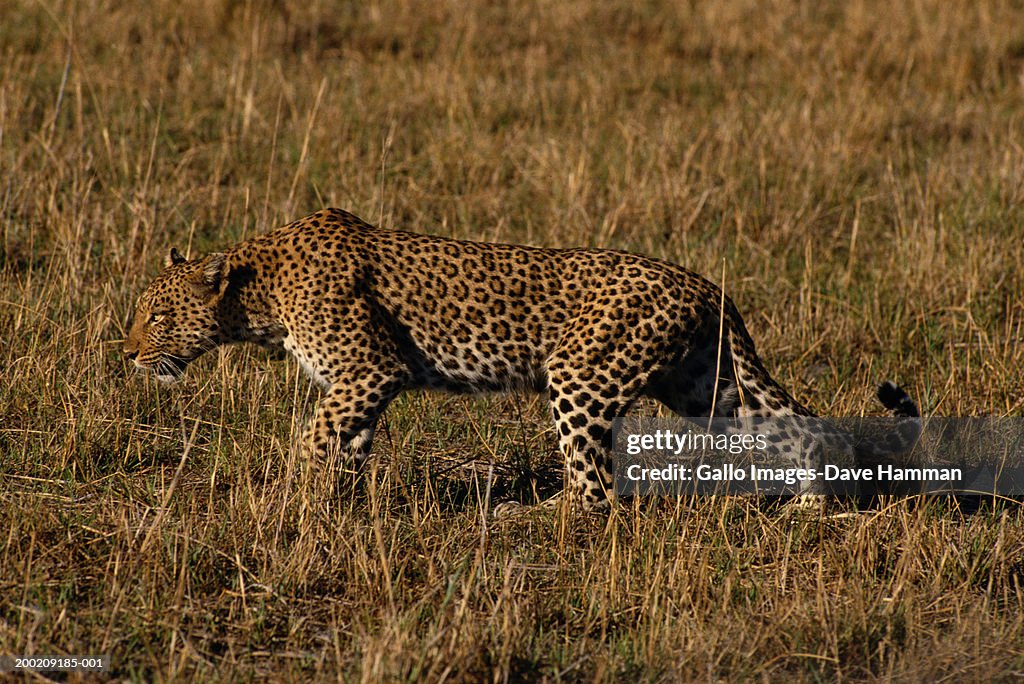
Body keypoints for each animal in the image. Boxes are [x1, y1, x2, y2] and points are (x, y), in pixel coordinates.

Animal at [124, 208, 921, 511]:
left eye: (158, 316)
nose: (128, 353)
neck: (258, 298)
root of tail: (707, 286)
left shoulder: (368, 371)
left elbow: (313, 436)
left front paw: (283, 493)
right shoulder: (361, 388)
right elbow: (344, 447)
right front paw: (329, 507)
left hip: (583, 377)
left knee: (597, 491)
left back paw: (535, 514)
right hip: (707, 386)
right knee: (797, 424)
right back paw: (814, 504)